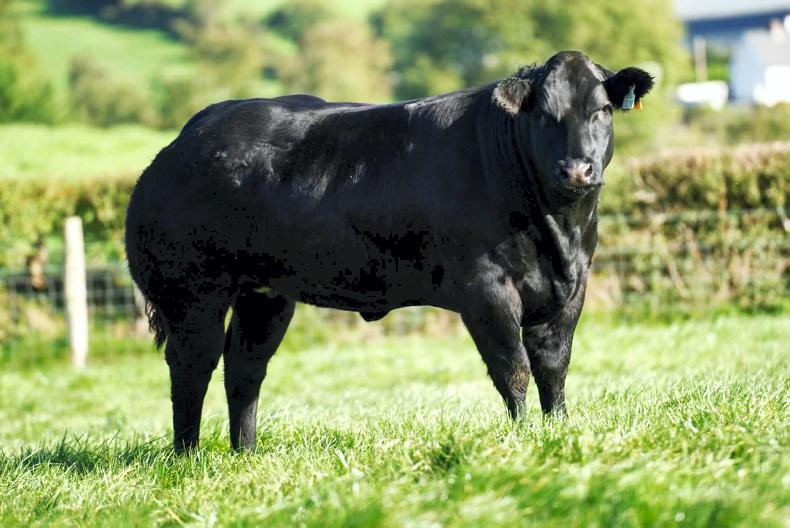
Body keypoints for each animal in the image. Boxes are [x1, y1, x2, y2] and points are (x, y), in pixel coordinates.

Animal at [125, 50, 653, 452]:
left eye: (603, 110)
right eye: (543, 114)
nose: (577, 169)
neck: (558, 234)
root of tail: (186, 139)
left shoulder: (572, 286)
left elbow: (554, 367)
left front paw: (558, 431)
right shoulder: (485, 289)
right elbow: (515, 370)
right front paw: (523, 438)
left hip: (265, 295)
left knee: (244, 370)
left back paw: (246, 454)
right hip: (192, 292)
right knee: (192, 367)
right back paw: (189, 456)